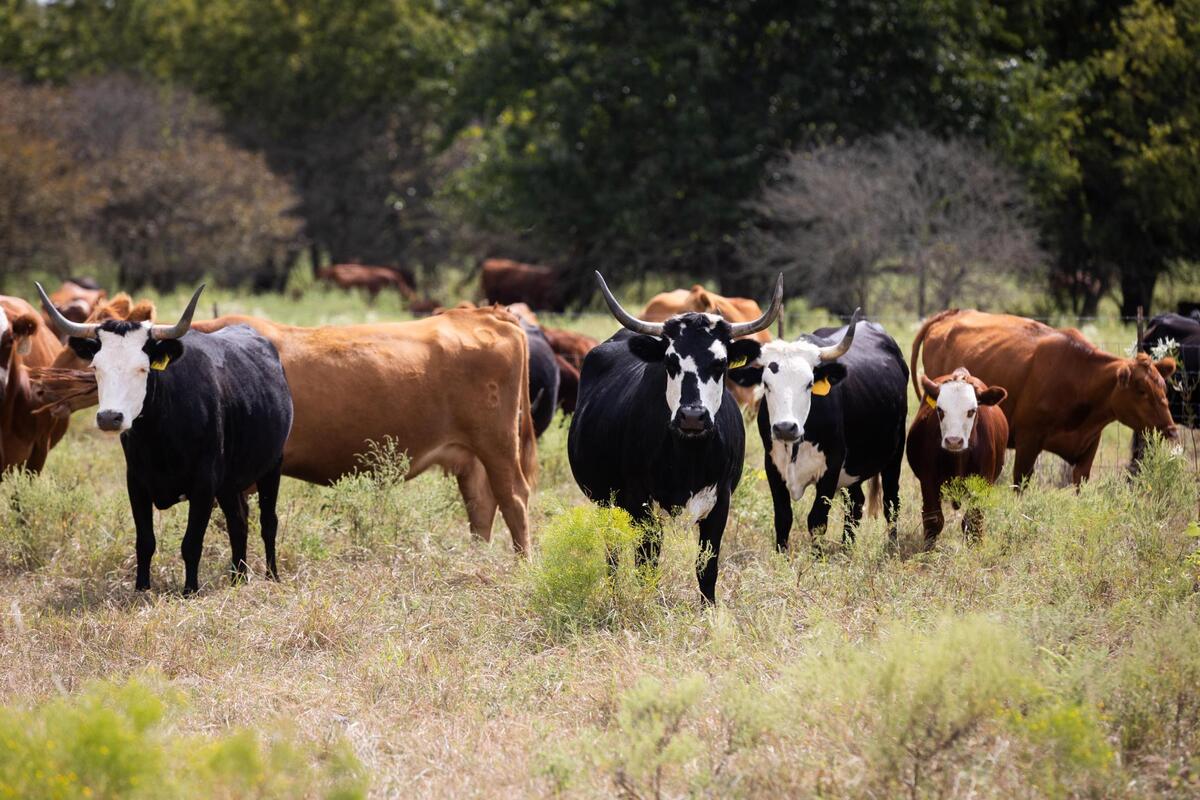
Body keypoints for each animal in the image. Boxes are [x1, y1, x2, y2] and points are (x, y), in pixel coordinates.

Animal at [38, 284, 294, 594]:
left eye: (142, 368)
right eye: (96, 367)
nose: (110, 417)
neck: (158, 435)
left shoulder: (204, 484)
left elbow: (191, 543)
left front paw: (190, 591)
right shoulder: (136, 482)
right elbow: (145, 542)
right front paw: (141, 588)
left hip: (272, 466)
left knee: (268, 522)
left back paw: (271, 576)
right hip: (230, 483)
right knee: (239, 521)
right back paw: (238, 578)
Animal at [729, 313, 908, 552]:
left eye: (809, 383)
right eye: (766, 384)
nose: (785, 428)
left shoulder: (831, 466)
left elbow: (817, 521)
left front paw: (817, 558)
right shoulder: (772, 466)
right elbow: (783, 518)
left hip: (895, 453)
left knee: (891, 501)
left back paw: (891, 546)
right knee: (856, 503)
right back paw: (847, 549)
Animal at [905, 368, 1009, 549]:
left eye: (971, 411)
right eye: (940, 410)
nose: (954, 441)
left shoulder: (983, 483)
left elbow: (974, 519)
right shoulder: (928, 480)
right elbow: (934, 519)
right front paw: (928, 551)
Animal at [912, 309, 1177, 487]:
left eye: (1163, 388)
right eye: (1141, 391)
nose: (1172, 429)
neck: (1079, 377)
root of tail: (950, 314)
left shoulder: (1088, 447)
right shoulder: (1028, 441)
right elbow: (1020, 484)